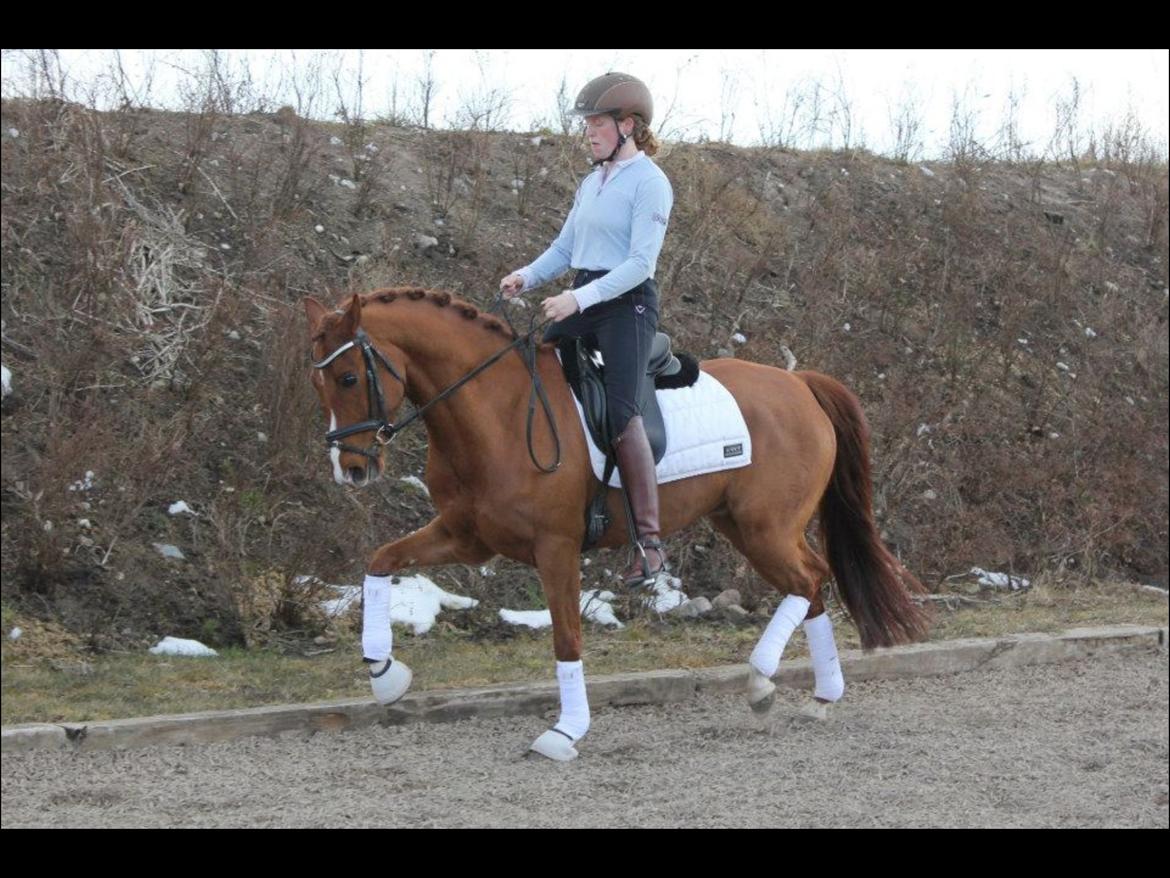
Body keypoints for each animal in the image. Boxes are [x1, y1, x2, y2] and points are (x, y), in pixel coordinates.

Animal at [304, 287, 930, 761]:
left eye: (349, 379)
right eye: (319, 382)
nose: (350, 469)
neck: (497, 412)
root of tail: (799, 384)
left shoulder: (555, 547)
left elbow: (566, 637)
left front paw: (564, 733)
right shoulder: (466, 537)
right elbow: (380, 562)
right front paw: (385, 675)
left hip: (764, 529)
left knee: (809, 580)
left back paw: (760, 681)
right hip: (743, 525)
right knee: (813, 584)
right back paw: (821, 696)